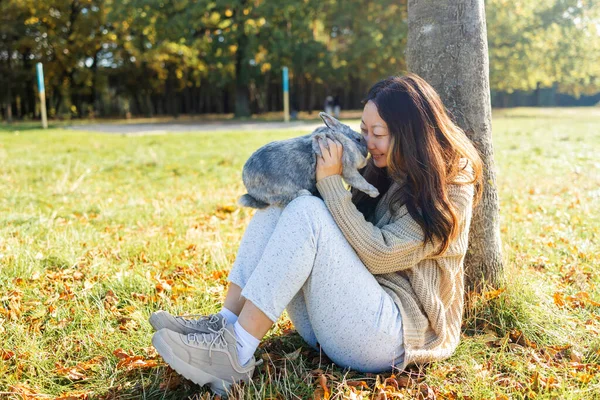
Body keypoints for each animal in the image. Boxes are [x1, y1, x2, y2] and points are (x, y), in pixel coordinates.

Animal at [239, 111, 380, 208]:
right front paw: (374, 192)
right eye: (358, 139)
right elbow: (360, 181)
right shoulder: (349, 170)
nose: (366, 154)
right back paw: (303, 193)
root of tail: (247, 181)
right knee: (279, 199)